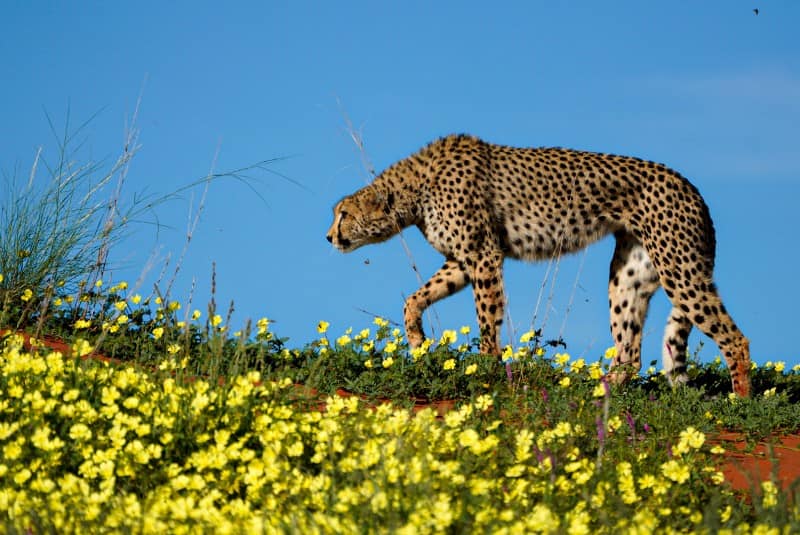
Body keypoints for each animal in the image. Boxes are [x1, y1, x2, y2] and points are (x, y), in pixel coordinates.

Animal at [324, 136, 752, 398]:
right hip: (629, 279)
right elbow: (415, 299)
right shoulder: (462, 261)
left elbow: (487, 319)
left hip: (679, 270)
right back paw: (599, 391)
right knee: (630, 354)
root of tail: (691, 187)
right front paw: (416, 342)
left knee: (735, 339)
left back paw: (739, 400)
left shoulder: (483, 256)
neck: (416, 190)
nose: (328, 237)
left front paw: (487, 367)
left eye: (343, 214)